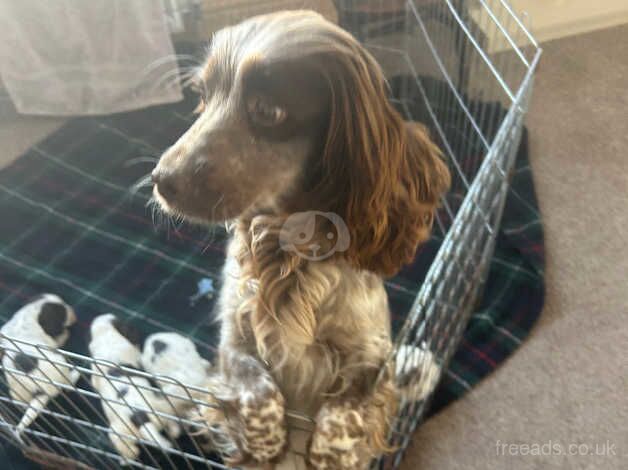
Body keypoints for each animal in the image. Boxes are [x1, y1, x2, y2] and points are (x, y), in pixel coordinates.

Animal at [0, 296, 78, 436]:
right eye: (63, 313)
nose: (75, 314)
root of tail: (39, 390)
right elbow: (60, 337)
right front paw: (65, 333)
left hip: (18, 394)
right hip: (60, 365)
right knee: (67, 385)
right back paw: (75, 374)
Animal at [87, 314, 179, 460]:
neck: (107, 333)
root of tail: (140, 416)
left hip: (120, 432)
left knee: (127, 447)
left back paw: (127, 458)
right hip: (161, 410)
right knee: (173, 426)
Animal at [150, 9, 448, 468]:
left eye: (268, 110)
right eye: (201, 94)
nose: (161, 180)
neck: (289, 255)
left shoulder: (372, 354)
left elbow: (341, 414)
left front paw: (327, 453)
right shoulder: (232, 340)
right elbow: (259, 391)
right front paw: (265, 443)